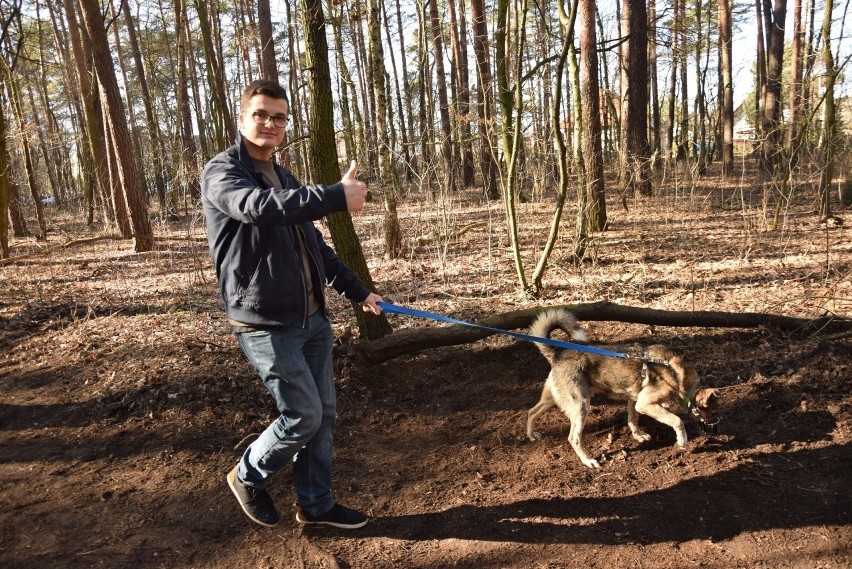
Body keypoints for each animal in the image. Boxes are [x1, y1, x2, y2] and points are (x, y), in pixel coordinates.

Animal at [524, 308, 720, 468]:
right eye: (713, 412)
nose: (716, 429)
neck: (676, 375)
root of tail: (557, 355)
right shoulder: (645, 404)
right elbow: (677, 420)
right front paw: (682, 442)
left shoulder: (634, 400)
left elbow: (633, 419)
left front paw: (638, 435)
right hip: (581, 406)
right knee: (573, 438)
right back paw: (588, 461)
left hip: (552, 399)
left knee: (532, 412)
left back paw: (531, 434)